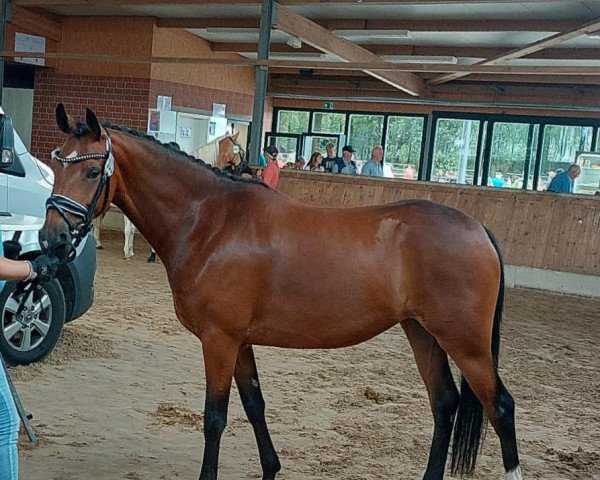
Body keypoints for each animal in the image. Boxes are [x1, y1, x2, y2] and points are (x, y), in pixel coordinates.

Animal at [39, 104, 524, 480]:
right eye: (57, 164)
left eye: (92, 170)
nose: (51, 240)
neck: (211, 222)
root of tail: (478, 228)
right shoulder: (240, 342)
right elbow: (255, 404)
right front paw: (271, 467)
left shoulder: (219, 340)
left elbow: (215, 418)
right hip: (421, 332)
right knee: (444, 404)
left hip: (467, 345)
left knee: (499, 406)